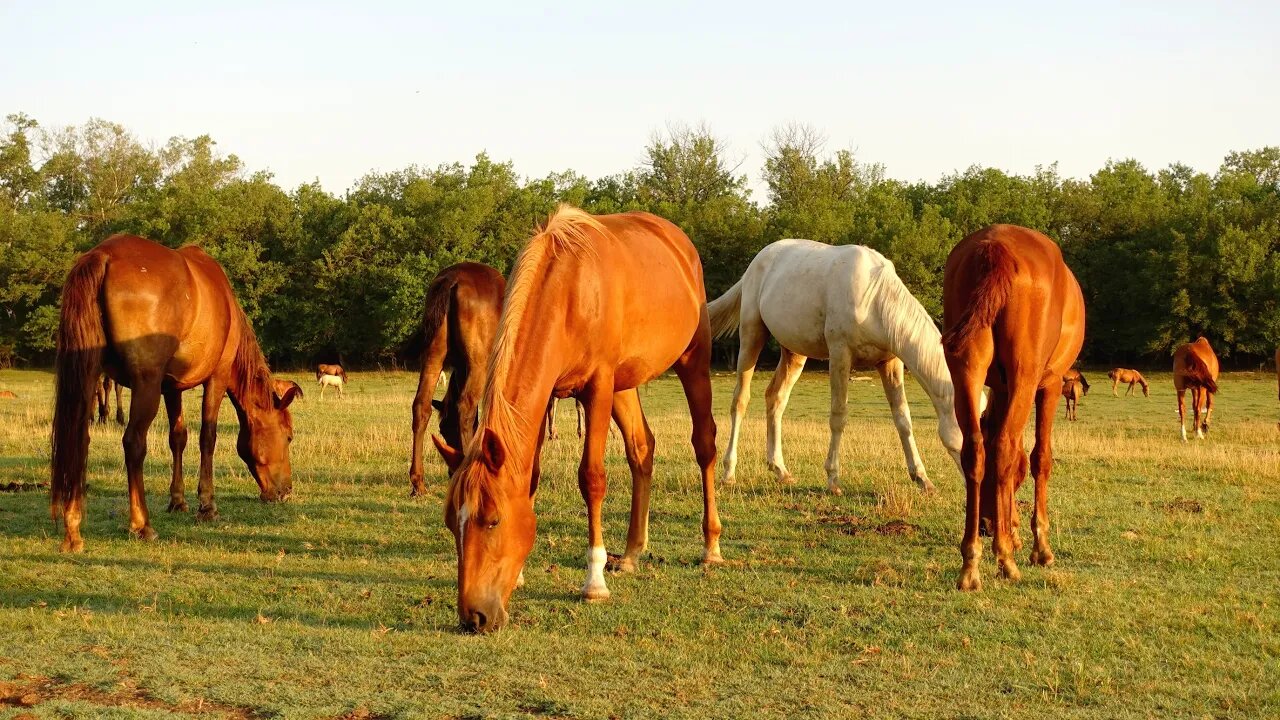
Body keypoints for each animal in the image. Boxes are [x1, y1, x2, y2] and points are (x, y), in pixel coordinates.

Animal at [51, 234, 300, 548]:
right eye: (288, 437)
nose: (286, 492)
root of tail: (104, 255)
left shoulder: (171, 387)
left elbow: (178, 438)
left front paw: (178, 501)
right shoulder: (217, 378)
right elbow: (208, 437)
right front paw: (207, 506)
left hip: (90, 378)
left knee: (80, 440)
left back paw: (73, 529)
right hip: (145, 385)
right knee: (133, 443)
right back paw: (142, 525)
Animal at [404, 262, 504, 491]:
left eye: (444, 429)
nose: (451, 470)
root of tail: (452, 279)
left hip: (433, 357)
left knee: (421, 406)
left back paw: (418, 481)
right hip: (479, 366)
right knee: (465, 407)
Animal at [435, 204, 727, 630]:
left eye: (492, 520)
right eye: (449, 523)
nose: (475, 617)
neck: (568, 292)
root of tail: (677, 240)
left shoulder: (598, 388)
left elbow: (592, 478)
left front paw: (594, 581)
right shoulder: (549, 399)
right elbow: (532, 476)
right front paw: (520, 576)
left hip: (693, 359)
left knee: (704, 444)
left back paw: (711, 546)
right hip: (626, 384)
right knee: (641, 449)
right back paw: (632, 552)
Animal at [711, 235, 967, 491]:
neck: (874, 298)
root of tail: (755, 263)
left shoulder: (890, 362)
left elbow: (903, 418)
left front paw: (922, 478)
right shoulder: (840, 355)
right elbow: (838, 415)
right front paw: (833, 478)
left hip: (794, 352)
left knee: (776, 398)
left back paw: (781, 470)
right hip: (751, 334)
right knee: (740, 400)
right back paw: (728, 473)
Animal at [942, 222, 1080, 589]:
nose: (988, 524)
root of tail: (996, 249)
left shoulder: (999, 387)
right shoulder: (1049, 384)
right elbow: (1038, 458)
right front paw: (1039, 547)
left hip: (967, 367)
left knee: (976, 450)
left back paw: (971, 561)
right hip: (1026, 376)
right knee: (1004, 446)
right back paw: (1005, 559)